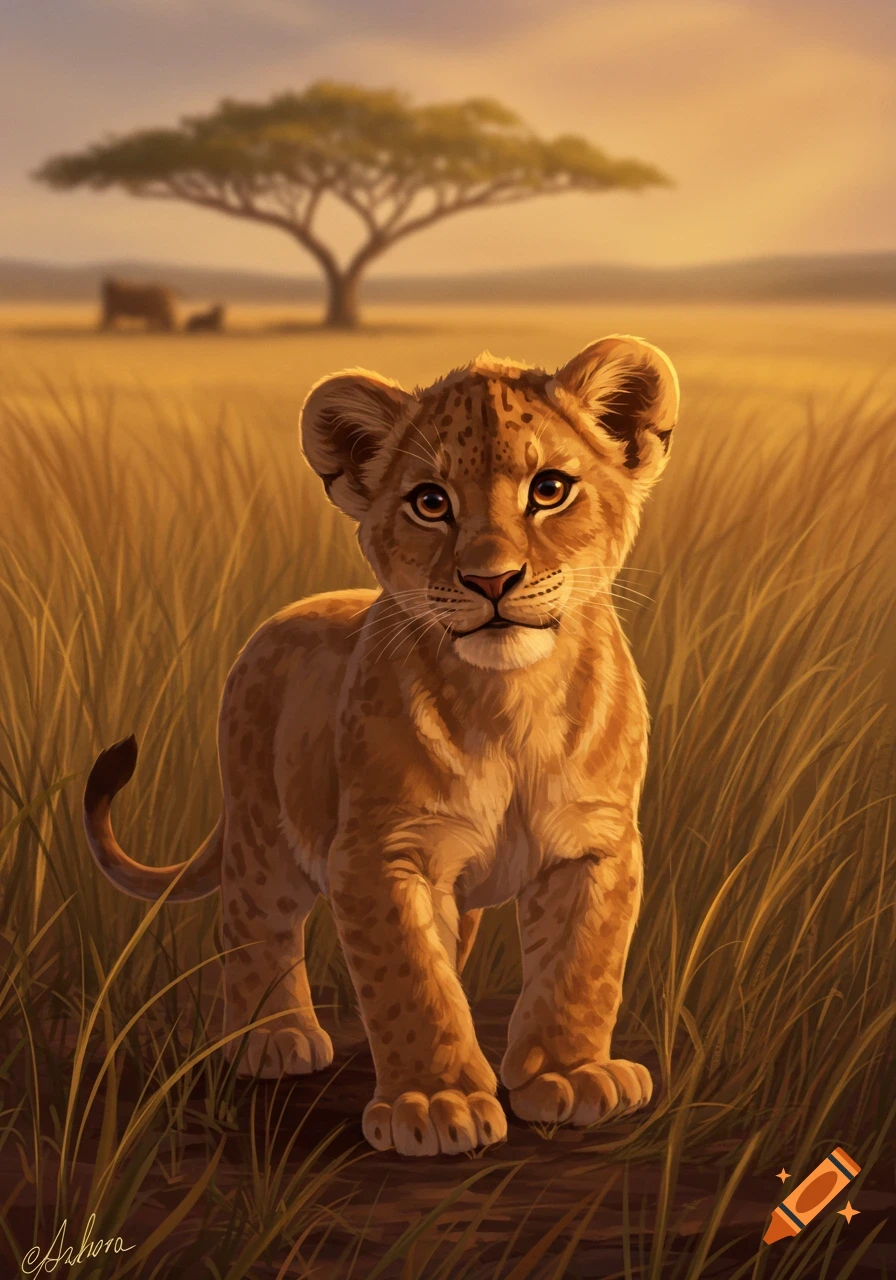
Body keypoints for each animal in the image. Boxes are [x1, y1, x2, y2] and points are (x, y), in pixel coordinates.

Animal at [84, 335, 678, 1157]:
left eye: (550, 489)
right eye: (430, 502)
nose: (492, 580)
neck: (510, 702)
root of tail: (271, 626)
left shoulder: (596, 844)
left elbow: (580, 967)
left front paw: (570, 1075)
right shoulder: (377, 852)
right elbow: (408, 980)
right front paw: (434, 1102)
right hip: (263, 832)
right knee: (253, 922)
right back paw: (273, 1037)